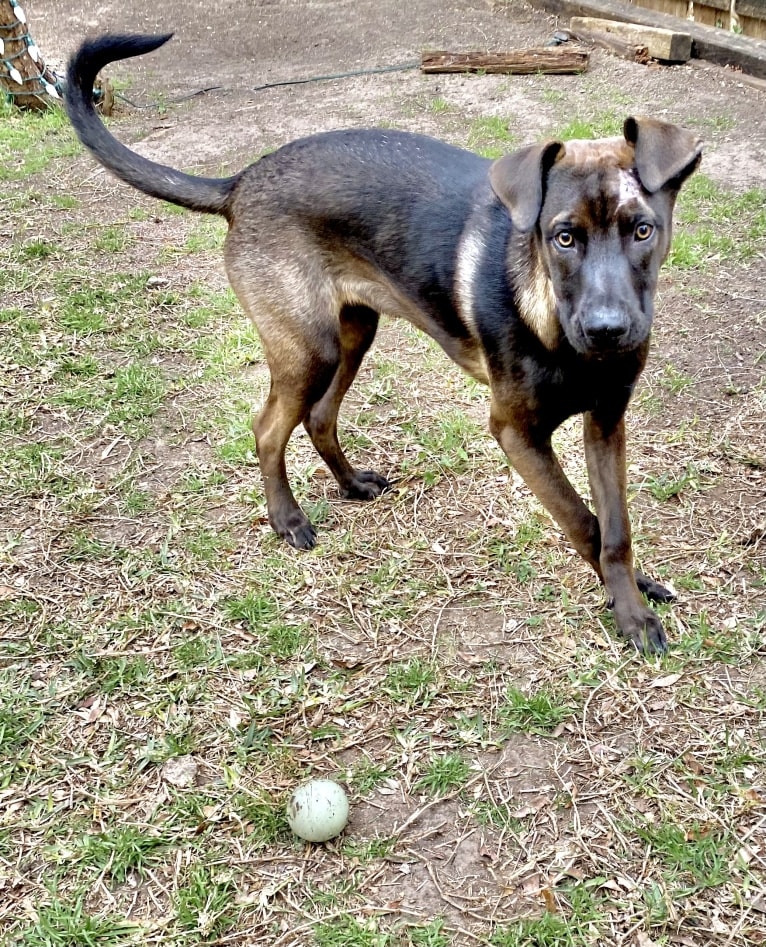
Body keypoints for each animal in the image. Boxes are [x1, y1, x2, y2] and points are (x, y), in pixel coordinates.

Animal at [66, 33, 704, 656]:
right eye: (563, 237)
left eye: (642, 229)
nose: (607, 330)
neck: (553, 320)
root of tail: (243, 181)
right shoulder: (516, 433)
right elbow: (584, 522)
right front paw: (626, 607)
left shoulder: (606, 422)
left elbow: (616, 528)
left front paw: (632, 594)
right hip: (309, 348)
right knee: (269, 428)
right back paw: (287, 518)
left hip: (353, 333)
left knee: (319, 417)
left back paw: (350, 485)